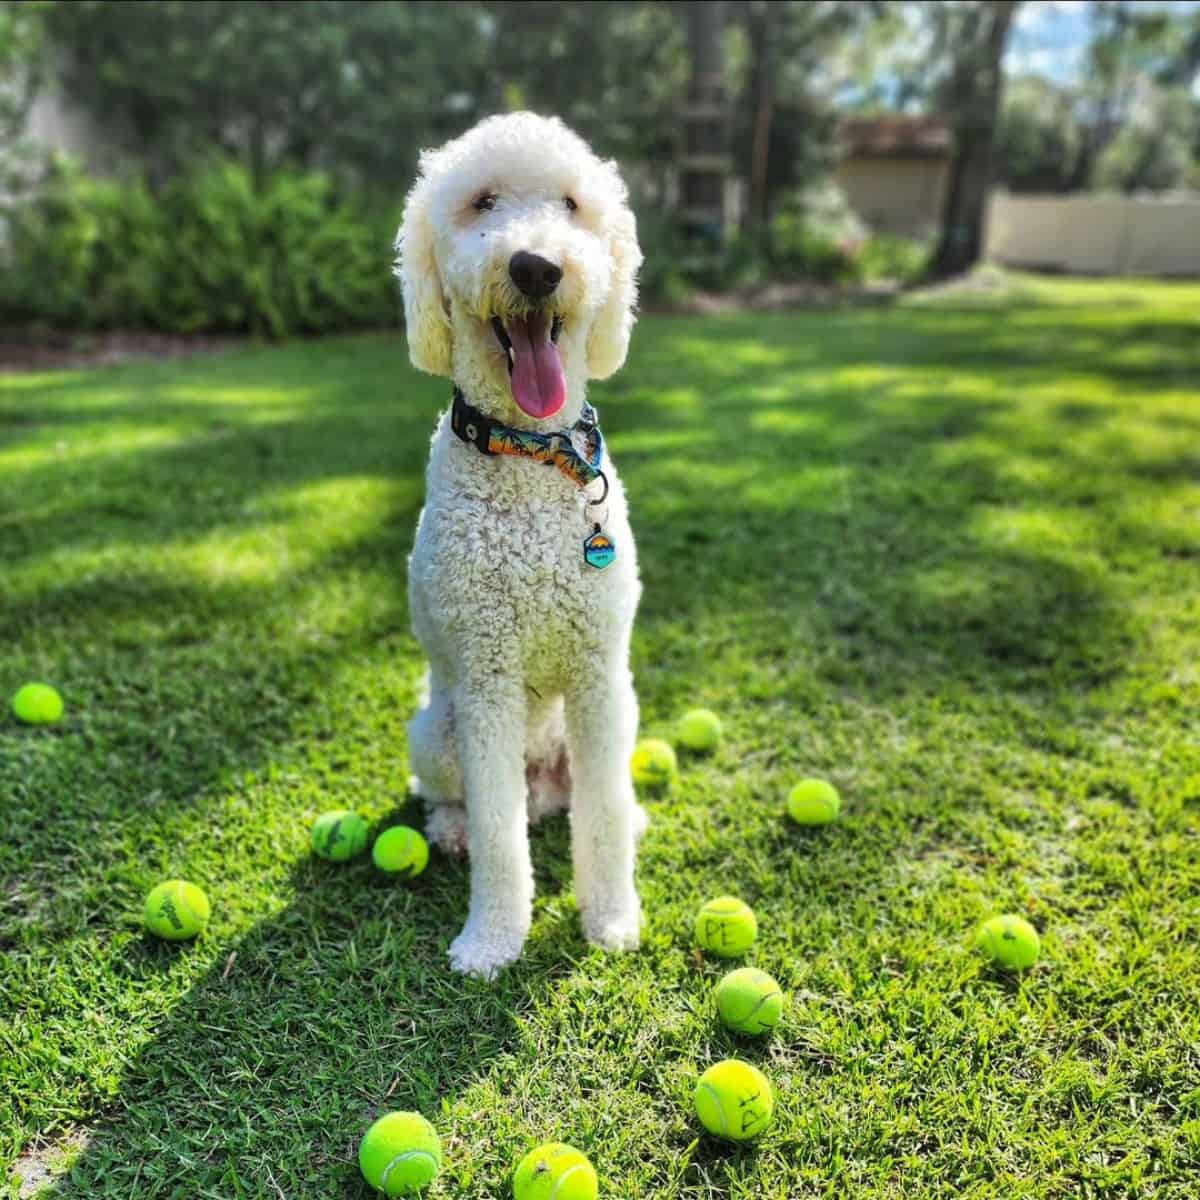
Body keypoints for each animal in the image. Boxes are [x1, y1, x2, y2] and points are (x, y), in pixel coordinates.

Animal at [398, 110, 648, 974]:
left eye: (572, 204)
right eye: (482, 202)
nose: (537, 266)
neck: (532, 456)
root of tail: (540, 777)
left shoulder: (599, 675)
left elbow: (601, 816)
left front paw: (612, 920)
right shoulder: (487, 680)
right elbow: (503, 841)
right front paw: (491, 940)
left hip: (620, 715)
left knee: (585, 802)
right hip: (436, 733)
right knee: (466, 802)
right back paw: (452, 832)